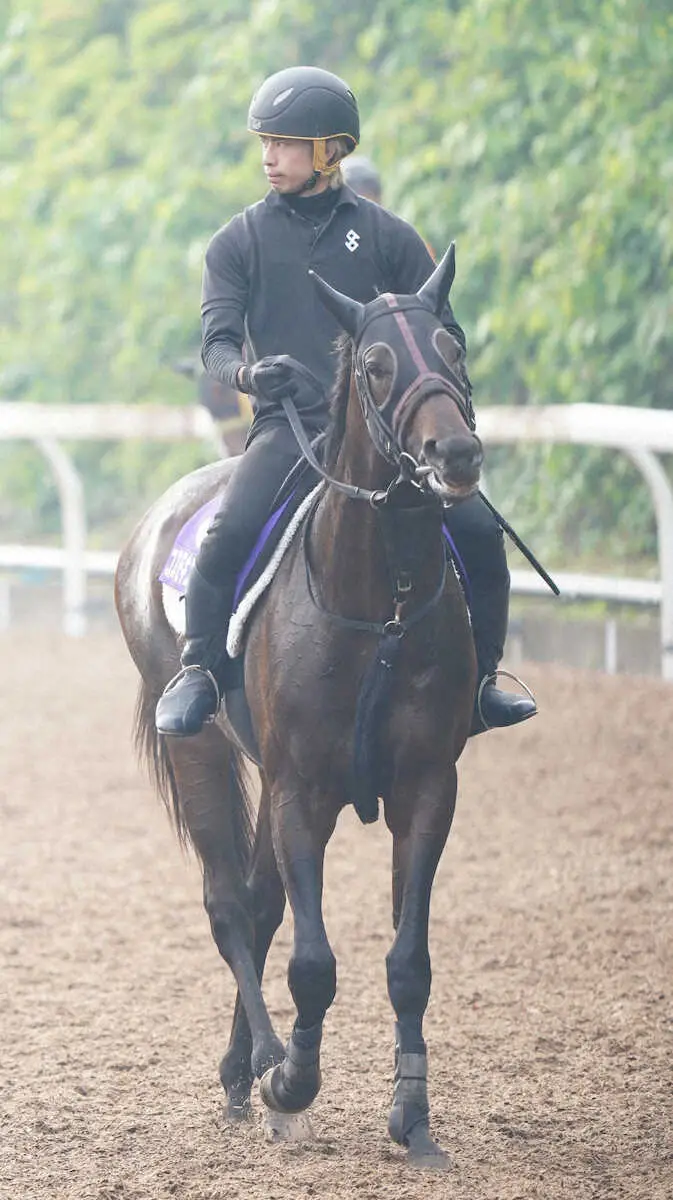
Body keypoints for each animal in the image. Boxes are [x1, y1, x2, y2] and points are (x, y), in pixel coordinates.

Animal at [116, 246, 482, 1171]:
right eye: (378, 365)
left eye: (452, 348)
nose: (457, 452)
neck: (378, 601)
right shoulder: (299, 791)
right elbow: (312, 962)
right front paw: (294, 1082)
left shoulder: (427, 786)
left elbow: (408, 960)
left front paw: (412, 1118)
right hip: (201, 747)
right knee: (227, 905)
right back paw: (265, 1069)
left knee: (256, 902)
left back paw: (242, 1069)